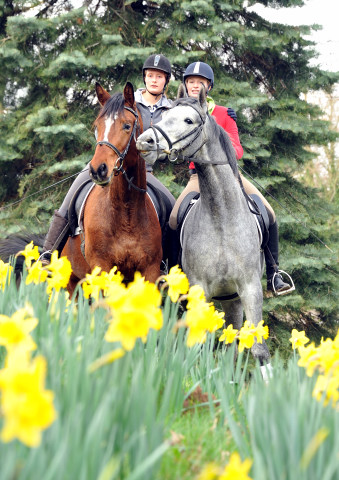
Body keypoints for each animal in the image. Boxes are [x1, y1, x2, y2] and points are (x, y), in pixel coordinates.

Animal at [137, 87, 272, 376]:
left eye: (188, 120)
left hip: (232, 299)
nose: (144, 141)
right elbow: (195, 345)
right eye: (165, 116)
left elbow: (258, 350)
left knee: (233, 347)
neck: (222, 218)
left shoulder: (250, 289)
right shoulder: (199, 290)